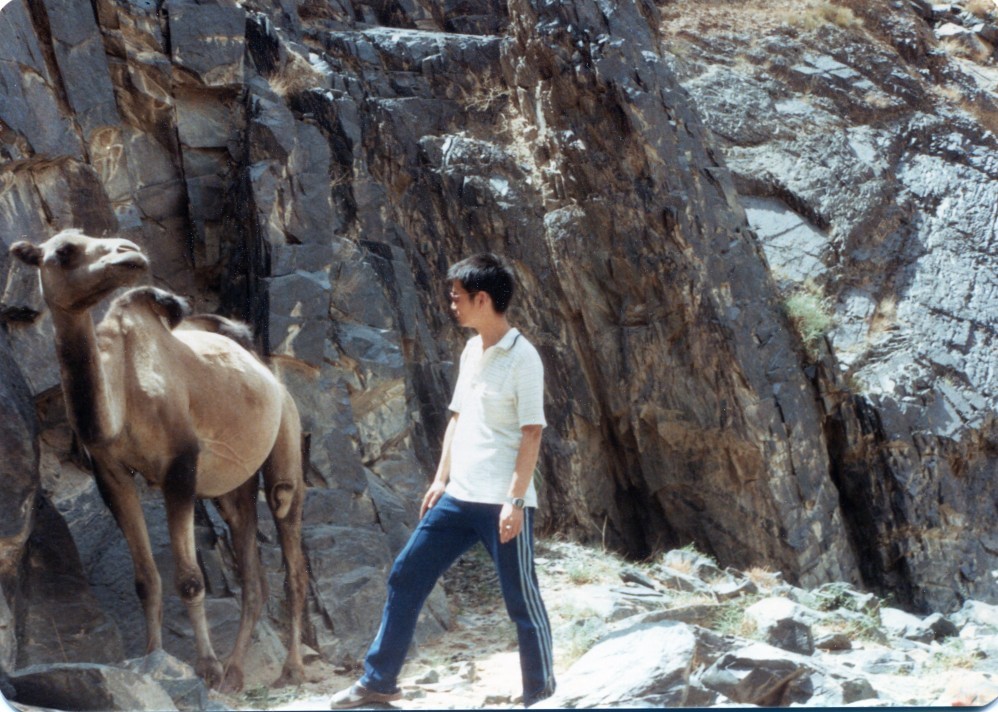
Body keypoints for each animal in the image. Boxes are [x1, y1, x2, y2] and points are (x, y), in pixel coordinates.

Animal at [9, 231, 306, 692]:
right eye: (63, 251)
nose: (129, 251)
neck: (123, 396)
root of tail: (269, 373)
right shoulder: (111, 474)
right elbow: (146, 580)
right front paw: (152, 657)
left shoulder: (179, 467)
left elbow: (190, 579)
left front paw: (206, 667)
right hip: (232, 484)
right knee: (251, 574)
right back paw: (236, 673)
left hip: (286, 436)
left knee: (288, 537)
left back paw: (289, 669)